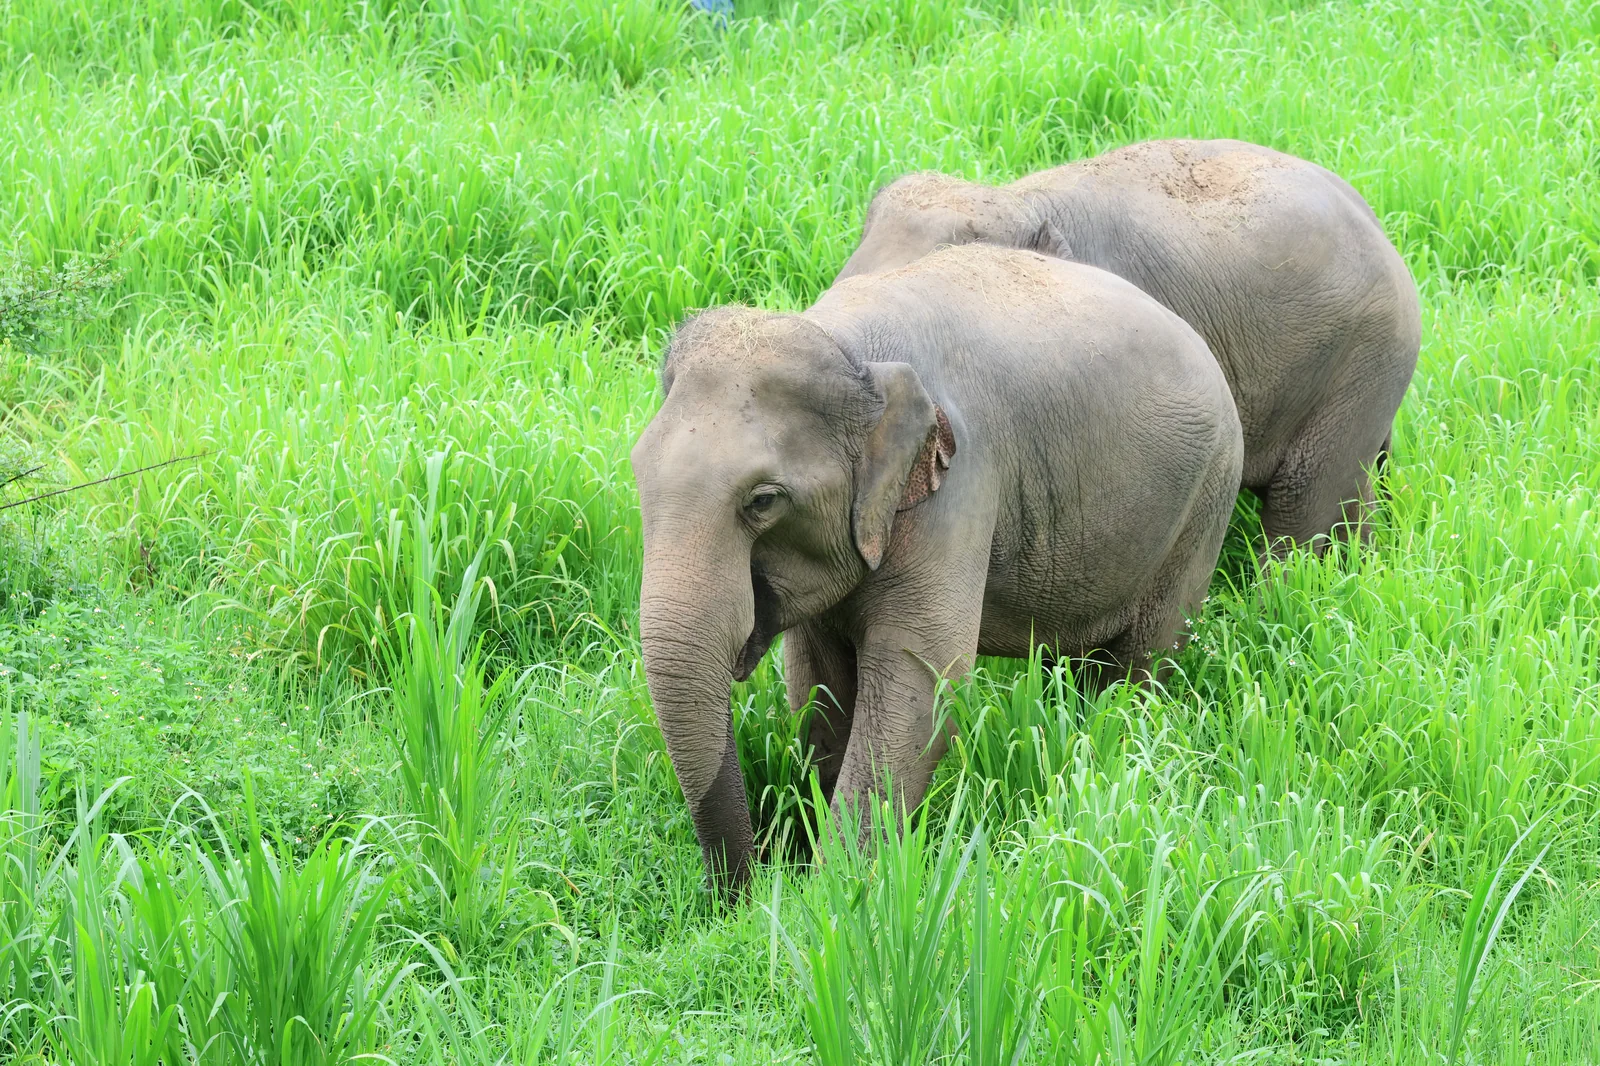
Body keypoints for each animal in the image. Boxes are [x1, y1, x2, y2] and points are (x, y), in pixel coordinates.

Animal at [630, 245, 1243, 898]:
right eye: (637, 472)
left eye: (763, 501)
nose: (741, 897)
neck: (850, 347)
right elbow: (819, 685)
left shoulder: (961, 484)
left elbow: (923, 682)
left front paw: (834, 895)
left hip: (1205, 502)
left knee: (1142, 662)